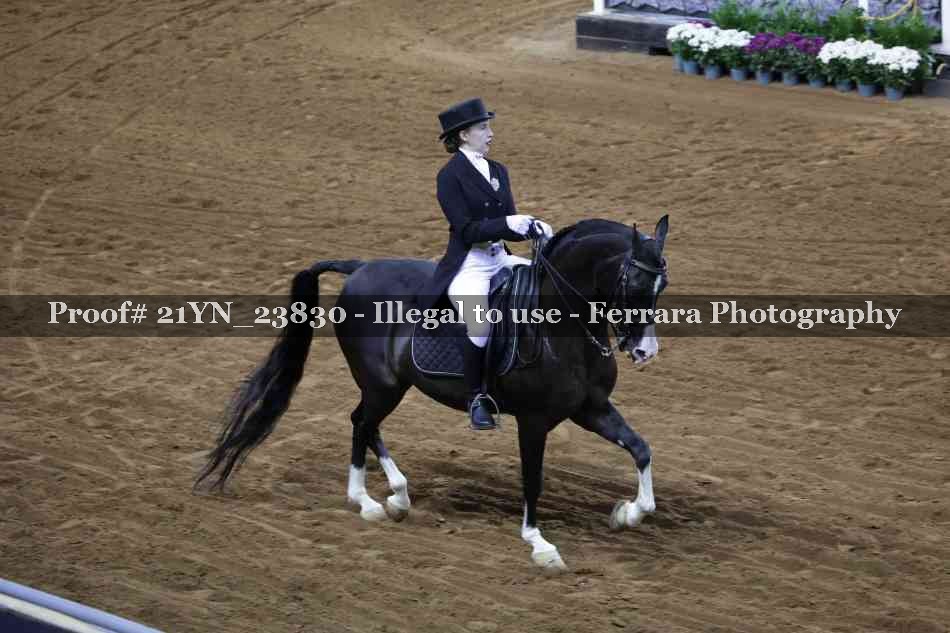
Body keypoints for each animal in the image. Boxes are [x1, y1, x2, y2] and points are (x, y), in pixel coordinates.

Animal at [196, 216, 670, 571]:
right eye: (633, 283)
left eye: (661, 287)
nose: (644, 351)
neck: (560, 325)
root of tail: (360, 267)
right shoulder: (534, 421)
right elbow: (532, 480)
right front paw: (540, 545)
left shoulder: (591, 408)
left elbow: (641, 449)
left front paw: (627, 513)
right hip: (383, 385)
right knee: (362, 422)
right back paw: (368, 501)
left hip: (390, 385)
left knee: (364, 424)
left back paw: (395, 498)